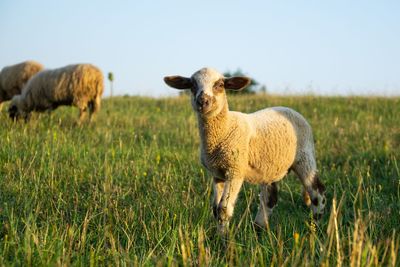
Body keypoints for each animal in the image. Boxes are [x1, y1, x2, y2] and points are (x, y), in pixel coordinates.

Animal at [164, 68, 326, 233]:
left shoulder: (235, 169)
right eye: (192, 85)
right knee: (270, 198)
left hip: (305, 157)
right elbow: (216, 209)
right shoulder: (217, 173)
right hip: (270, 166)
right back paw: (259, 228)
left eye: (220, 84)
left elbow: (223, 209)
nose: (203, 102)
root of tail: (289, 109)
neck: (225, 127)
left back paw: (314, 228)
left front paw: (224, 239)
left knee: (317, 193)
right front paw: (219, 235)